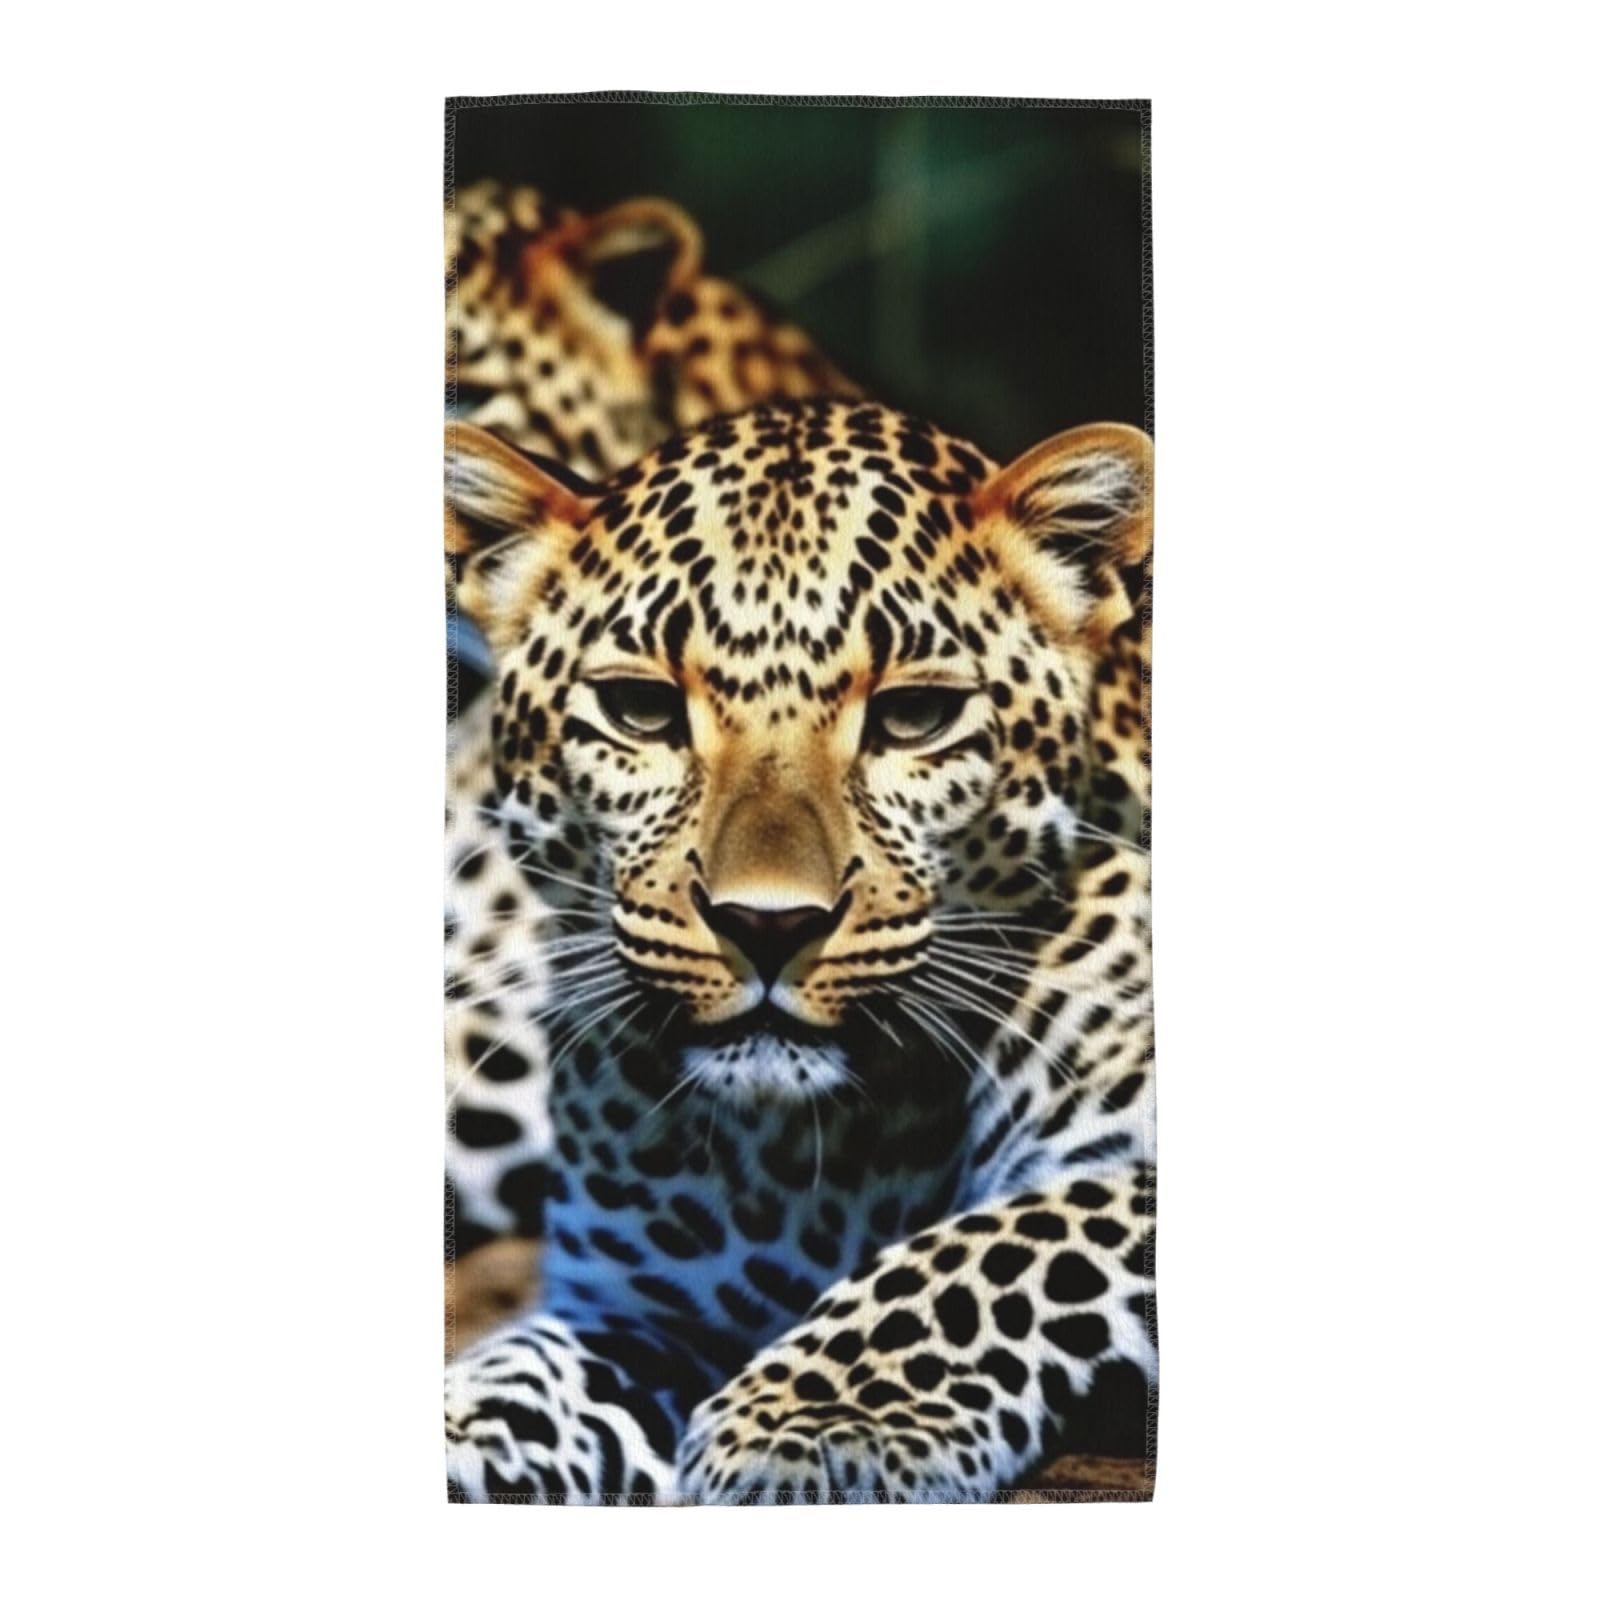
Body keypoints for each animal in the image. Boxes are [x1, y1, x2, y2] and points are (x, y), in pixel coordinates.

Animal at [441, 395, 1155, 1504]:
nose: (766, 923)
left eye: (915, 716)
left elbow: (1005, 1239)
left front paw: (816, 1422)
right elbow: (524, 1369)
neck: (815, 1152)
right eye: (640, 710)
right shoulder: (642, 1310)